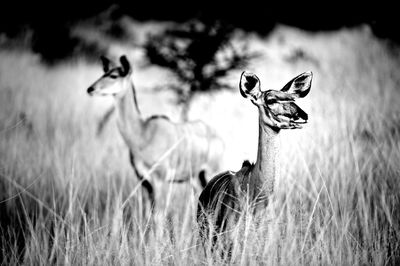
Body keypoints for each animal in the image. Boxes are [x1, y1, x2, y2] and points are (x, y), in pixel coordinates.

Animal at [86, 55, 223, 211]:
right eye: (103, 73)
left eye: (113, 75)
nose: (90, 89)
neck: (143, 134)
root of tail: (219, 138)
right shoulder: (145, 182)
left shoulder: (159, 181)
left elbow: (159, 214)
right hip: (195, 179)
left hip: (208, 174)